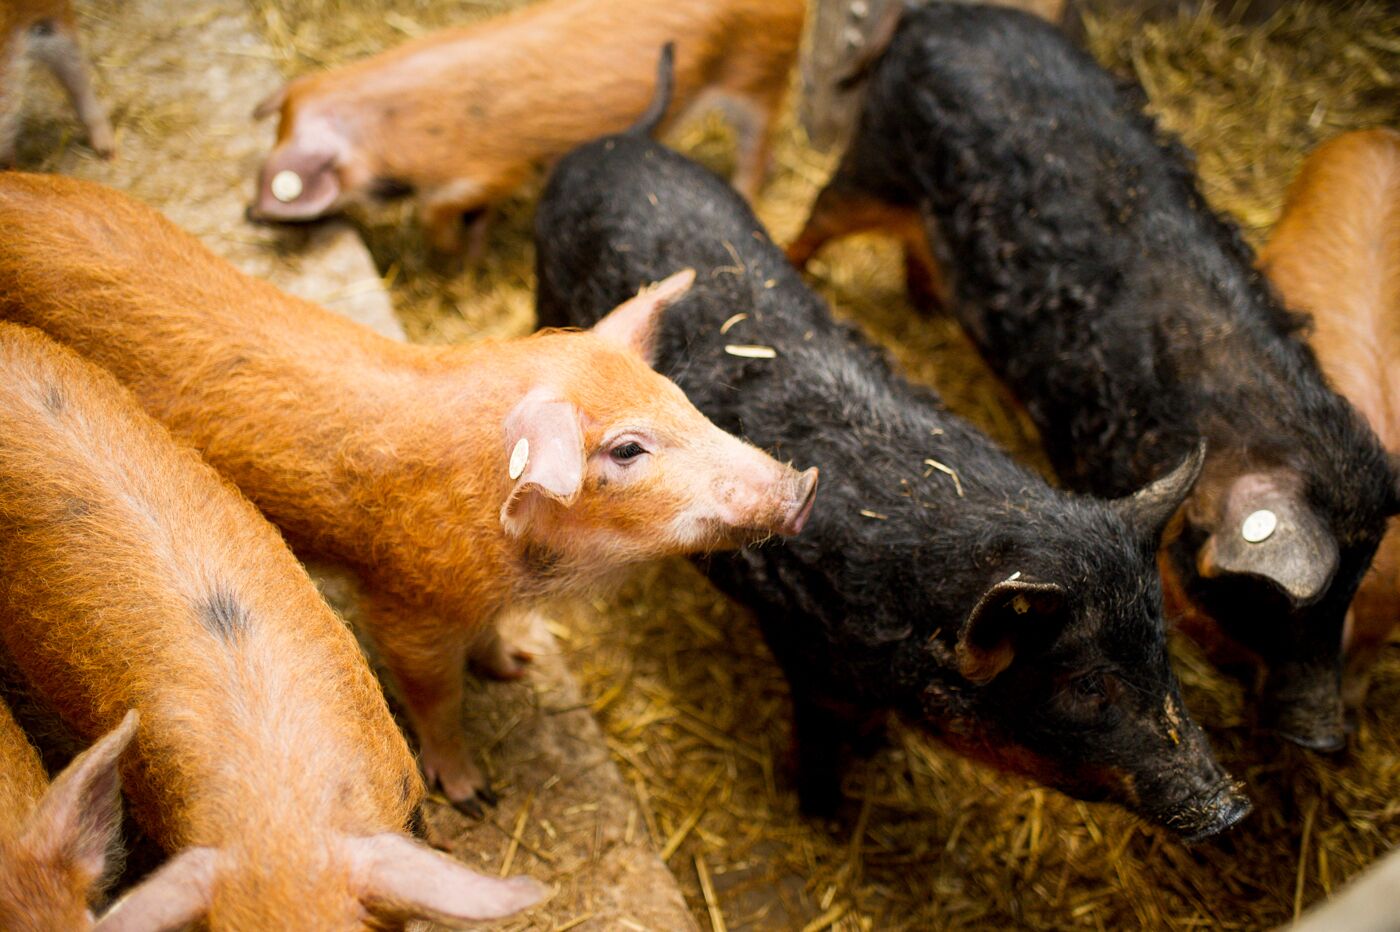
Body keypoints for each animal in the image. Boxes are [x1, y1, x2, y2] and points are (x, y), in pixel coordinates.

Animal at [0, 172, 818, 814]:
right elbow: (436, 699)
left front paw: (514, 667)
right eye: (625, 449)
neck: (512, 555)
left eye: (681, 400)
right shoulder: (402, 608)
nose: (805, 483)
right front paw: (475, 796)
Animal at [248, 0, 804, 253]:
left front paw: (453, 255)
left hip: (759, 75)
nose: (249, 214)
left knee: (758, 145)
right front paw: (474, 247)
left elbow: (438, 213)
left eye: (280, 183)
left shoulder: (488, 173)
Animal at [531, 63, 1251, 841]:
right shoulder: (813, 666)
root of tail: (614, 142)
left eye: (1160, 646)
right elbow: (821, 741)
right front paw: (827, 818)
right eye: (1089, 684)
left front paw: (876, 751)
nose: (1230, 806)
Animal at [787, 2, 1400, 751]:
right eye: (1269, 599)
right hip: (873, 160)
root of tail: (945, 15)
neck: (1227, 419)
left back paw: (928, 303)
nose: (1325, 739)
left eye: (1354, 587)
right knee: (821, 215)